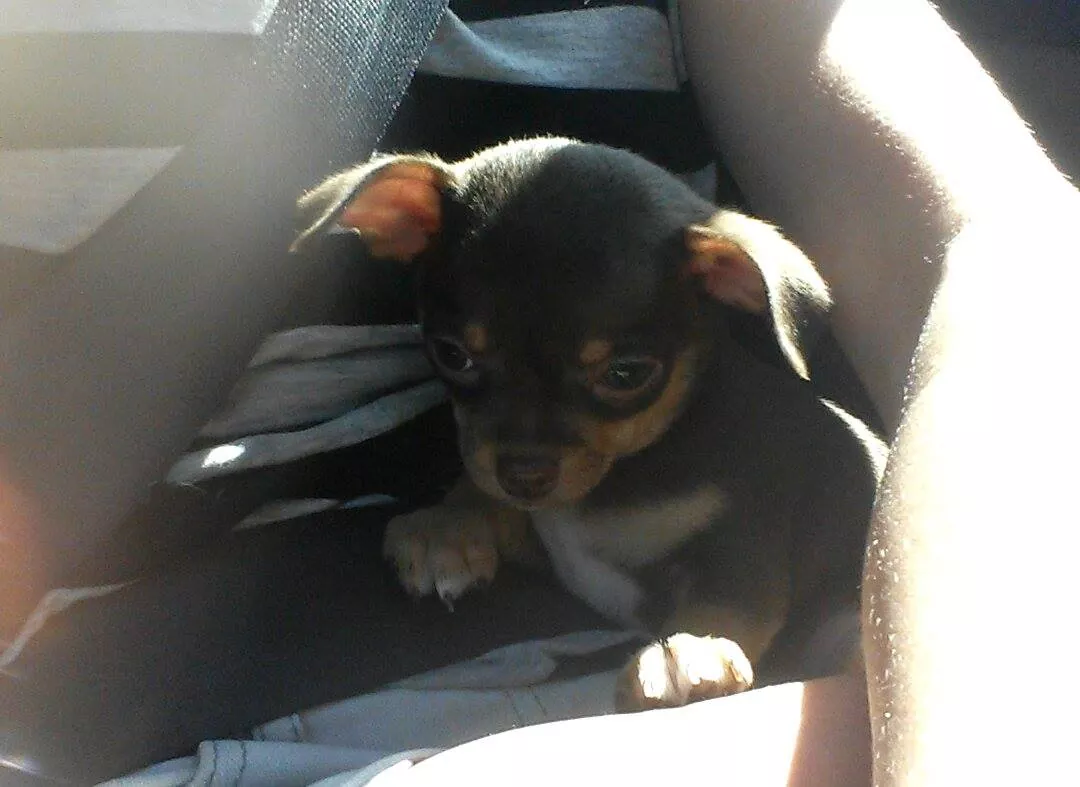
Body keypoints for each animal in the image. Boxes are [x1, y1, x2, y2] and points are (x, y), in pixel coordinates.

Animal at [295, 137, 886, 711]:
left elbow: (723, 605)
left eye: (626, 374)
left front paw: (689, 653)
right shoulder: (548, 536)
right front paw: (447, 526)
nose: (524, 474)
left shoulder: (745, 545)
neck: (634, 465)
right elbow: (486, 491)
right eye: (452, 354)